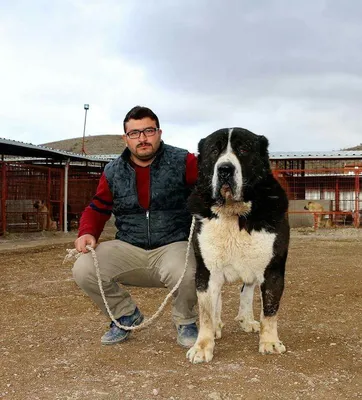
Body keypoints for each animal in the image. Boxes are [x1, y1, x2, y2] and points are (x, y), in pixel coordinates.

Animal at [185, 127, 290, 362]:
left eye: (243, 149)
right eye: (214, 151)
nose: (225, 169)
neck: (234, 213)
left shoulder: (272, 269)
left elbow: (270, 310)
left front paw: (269, 342)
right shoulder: (206, 270)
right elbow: (206, 312)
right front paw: (202, 346)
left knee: (247, 289)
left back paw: (247, 319)